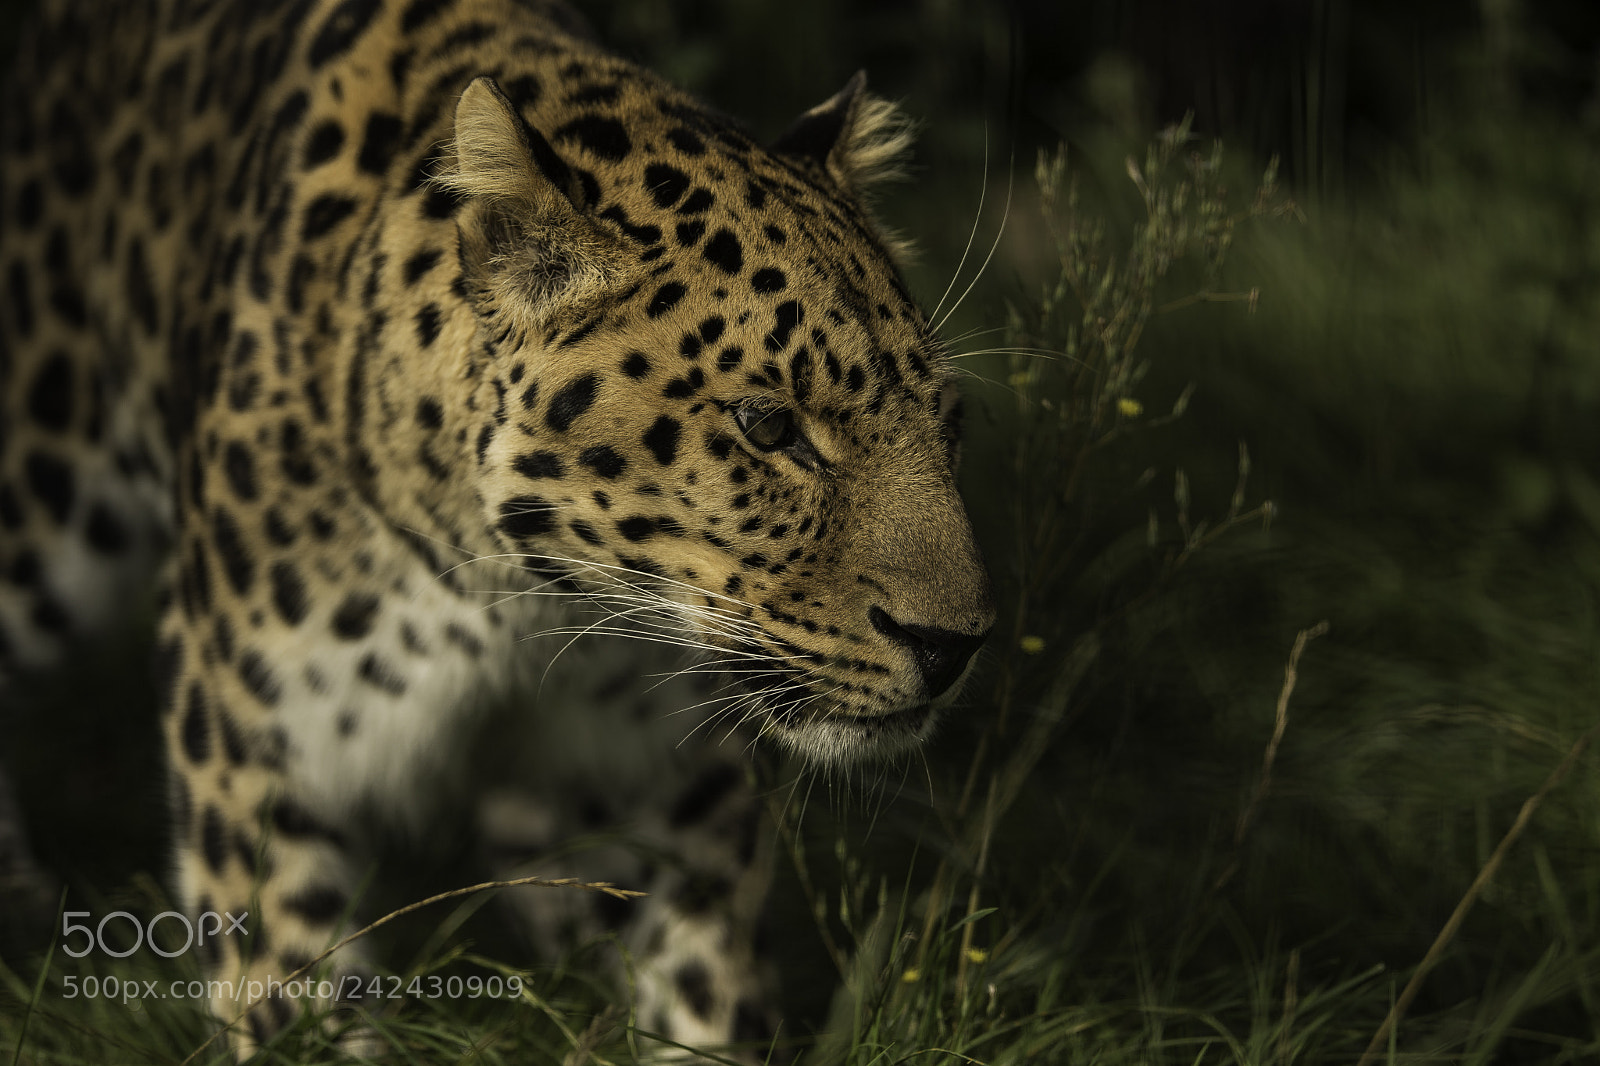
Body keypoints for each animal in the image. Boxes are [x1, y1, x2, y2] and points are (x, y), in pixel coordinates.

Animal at [0, 0, 995, 1057]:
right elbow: (293, 999)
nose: (955, 647)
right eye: (768, 427)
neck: (521, 597)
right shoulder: (257, 753)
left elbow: (705, 992)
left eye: (948, 422)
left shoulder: (664, 781)